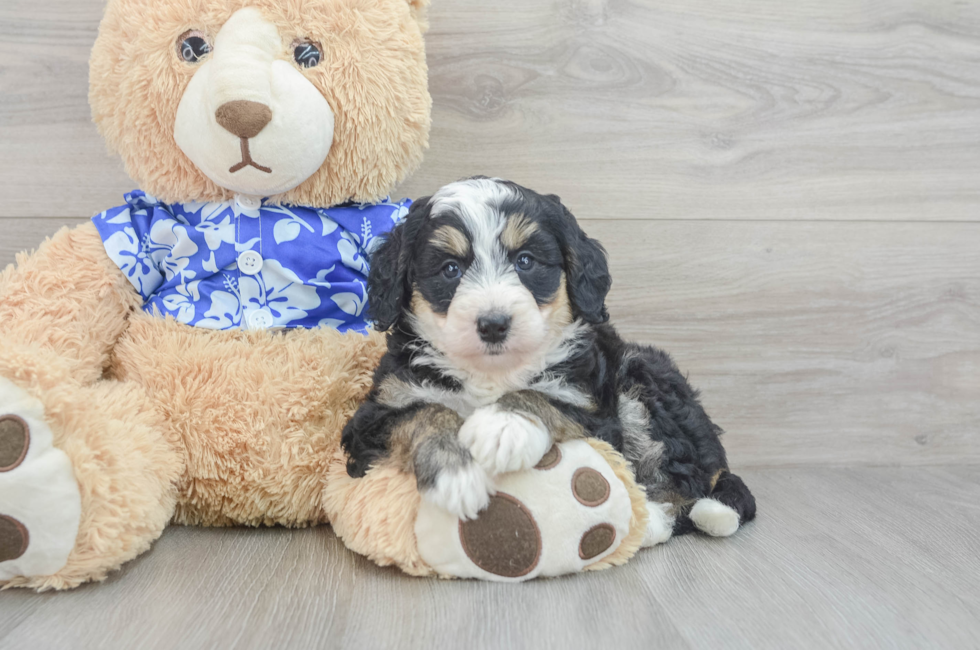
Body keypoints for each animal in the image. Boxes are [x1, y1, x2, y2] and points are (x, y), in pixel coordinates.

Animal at [340, 176, 756, 540]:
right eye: (450, 269)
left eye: (525, 261)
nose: (494, 324)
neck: (490, 372)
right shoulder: (375, 414)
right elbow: (424, 413)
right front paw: (456, 476)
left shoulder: (592, 411)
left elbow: (541, 397)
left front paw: (502, 427)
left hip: (641, 375)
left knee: (686, 481)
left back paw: (650, 518)